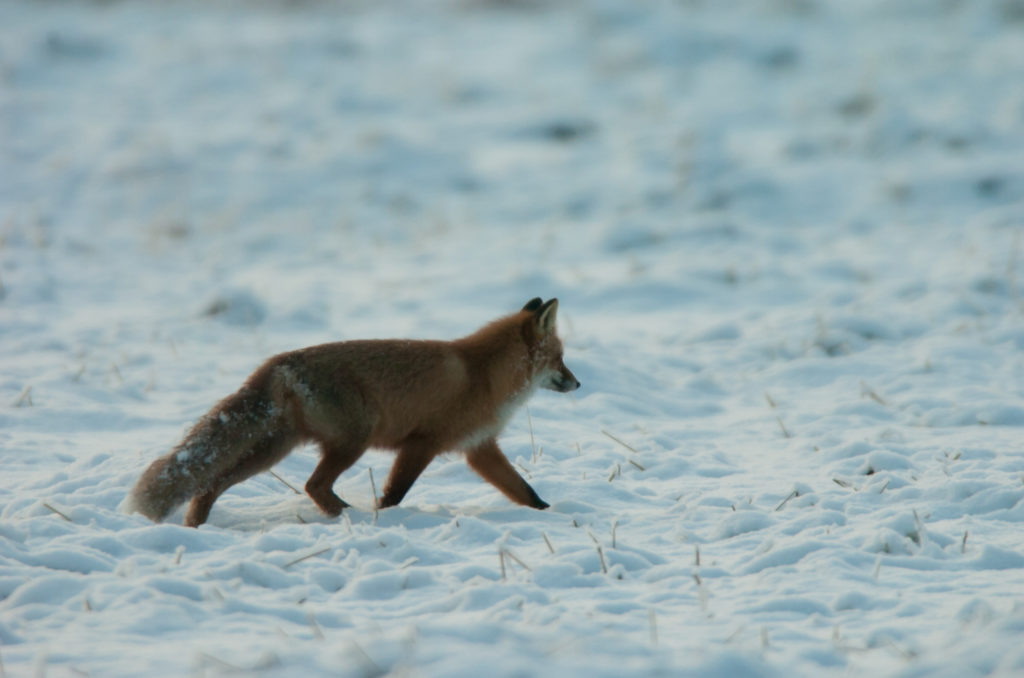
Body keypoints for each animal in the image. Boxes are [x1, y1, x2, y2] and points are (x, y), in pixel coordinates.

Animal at [123, 301, 581, 528]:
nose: (579, 383)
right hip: (352, 442)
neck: (483, 374)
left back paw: (195, 526)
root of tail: (277, 363)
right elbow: (395, 493)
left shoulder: (479, 448)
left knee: (210, 482)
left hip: (273, 451)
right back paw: (349, 515)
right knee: (313, 485)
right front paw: (386, 516)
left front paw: (555, 516)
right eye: (560, 358)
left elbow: (526, 492)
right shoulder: (423, 443)